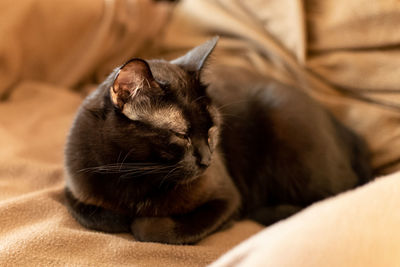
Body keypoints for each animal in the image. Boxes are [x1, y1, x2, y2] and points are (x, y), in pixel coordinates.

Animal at [63, 37, 372, 245]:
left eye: (212, 130)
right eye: (182, 135)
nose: (208, 160)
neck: (134, 172)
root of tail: (348, 130)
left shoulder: (227, 198)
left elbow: (154, 230)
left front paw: (141, 222)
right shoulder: (74, 189)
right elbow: (96, 215)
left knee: (332, 197)